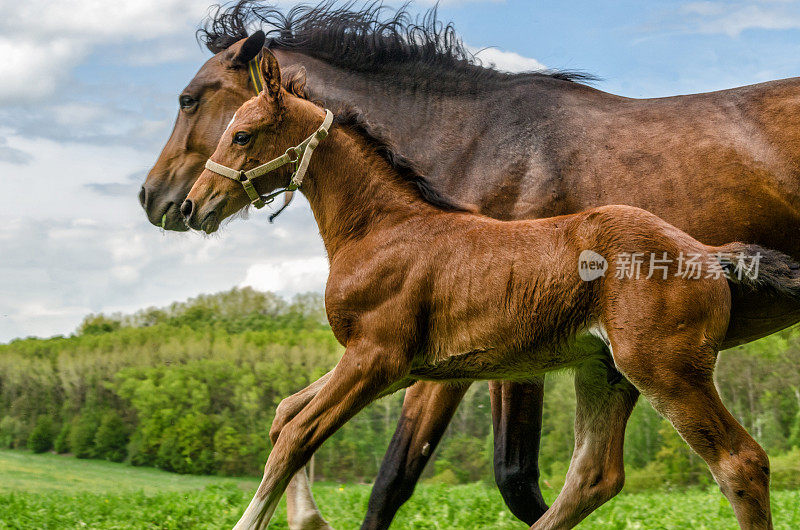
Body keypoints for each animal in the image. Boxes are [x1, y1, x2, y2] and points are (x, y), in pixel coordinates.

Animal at [184, 50, 796, 528]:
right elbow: (286, 413)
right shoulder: (396, 368)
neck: (381, 227)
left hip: (666, 369)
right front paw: (307, 517)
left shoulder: (377, 359)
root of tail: (706, 253)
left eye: (241, 134)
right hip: (606, 372)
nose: (191, 206)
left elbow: (297, 435)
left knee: (739, 463)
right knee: (592, 477)